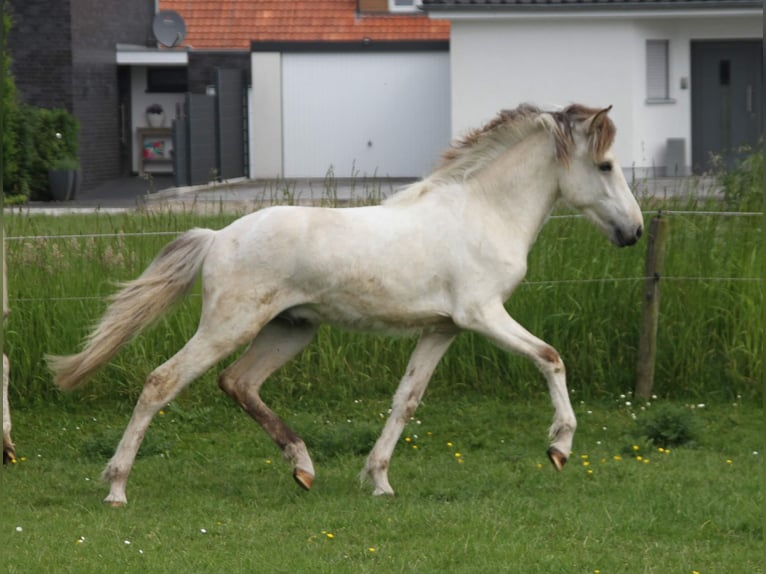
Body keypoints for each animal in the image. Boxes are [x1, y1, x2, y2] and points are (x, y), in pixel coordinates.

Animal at [48, 104, 644, 508]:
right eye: (606, 165)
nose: (634, 231)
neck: (482, 212)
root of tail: (218, 236)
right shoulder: (483, 315)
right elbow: (551, 357)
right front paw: (559, 447)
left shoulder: (443, 329)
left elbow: (406, 401)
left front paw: (378, 480)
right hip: (230, 326)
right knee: (161, 381)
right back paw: (117, 487)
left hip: (289, 329)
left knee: (238, 383)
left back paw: (304, 468)